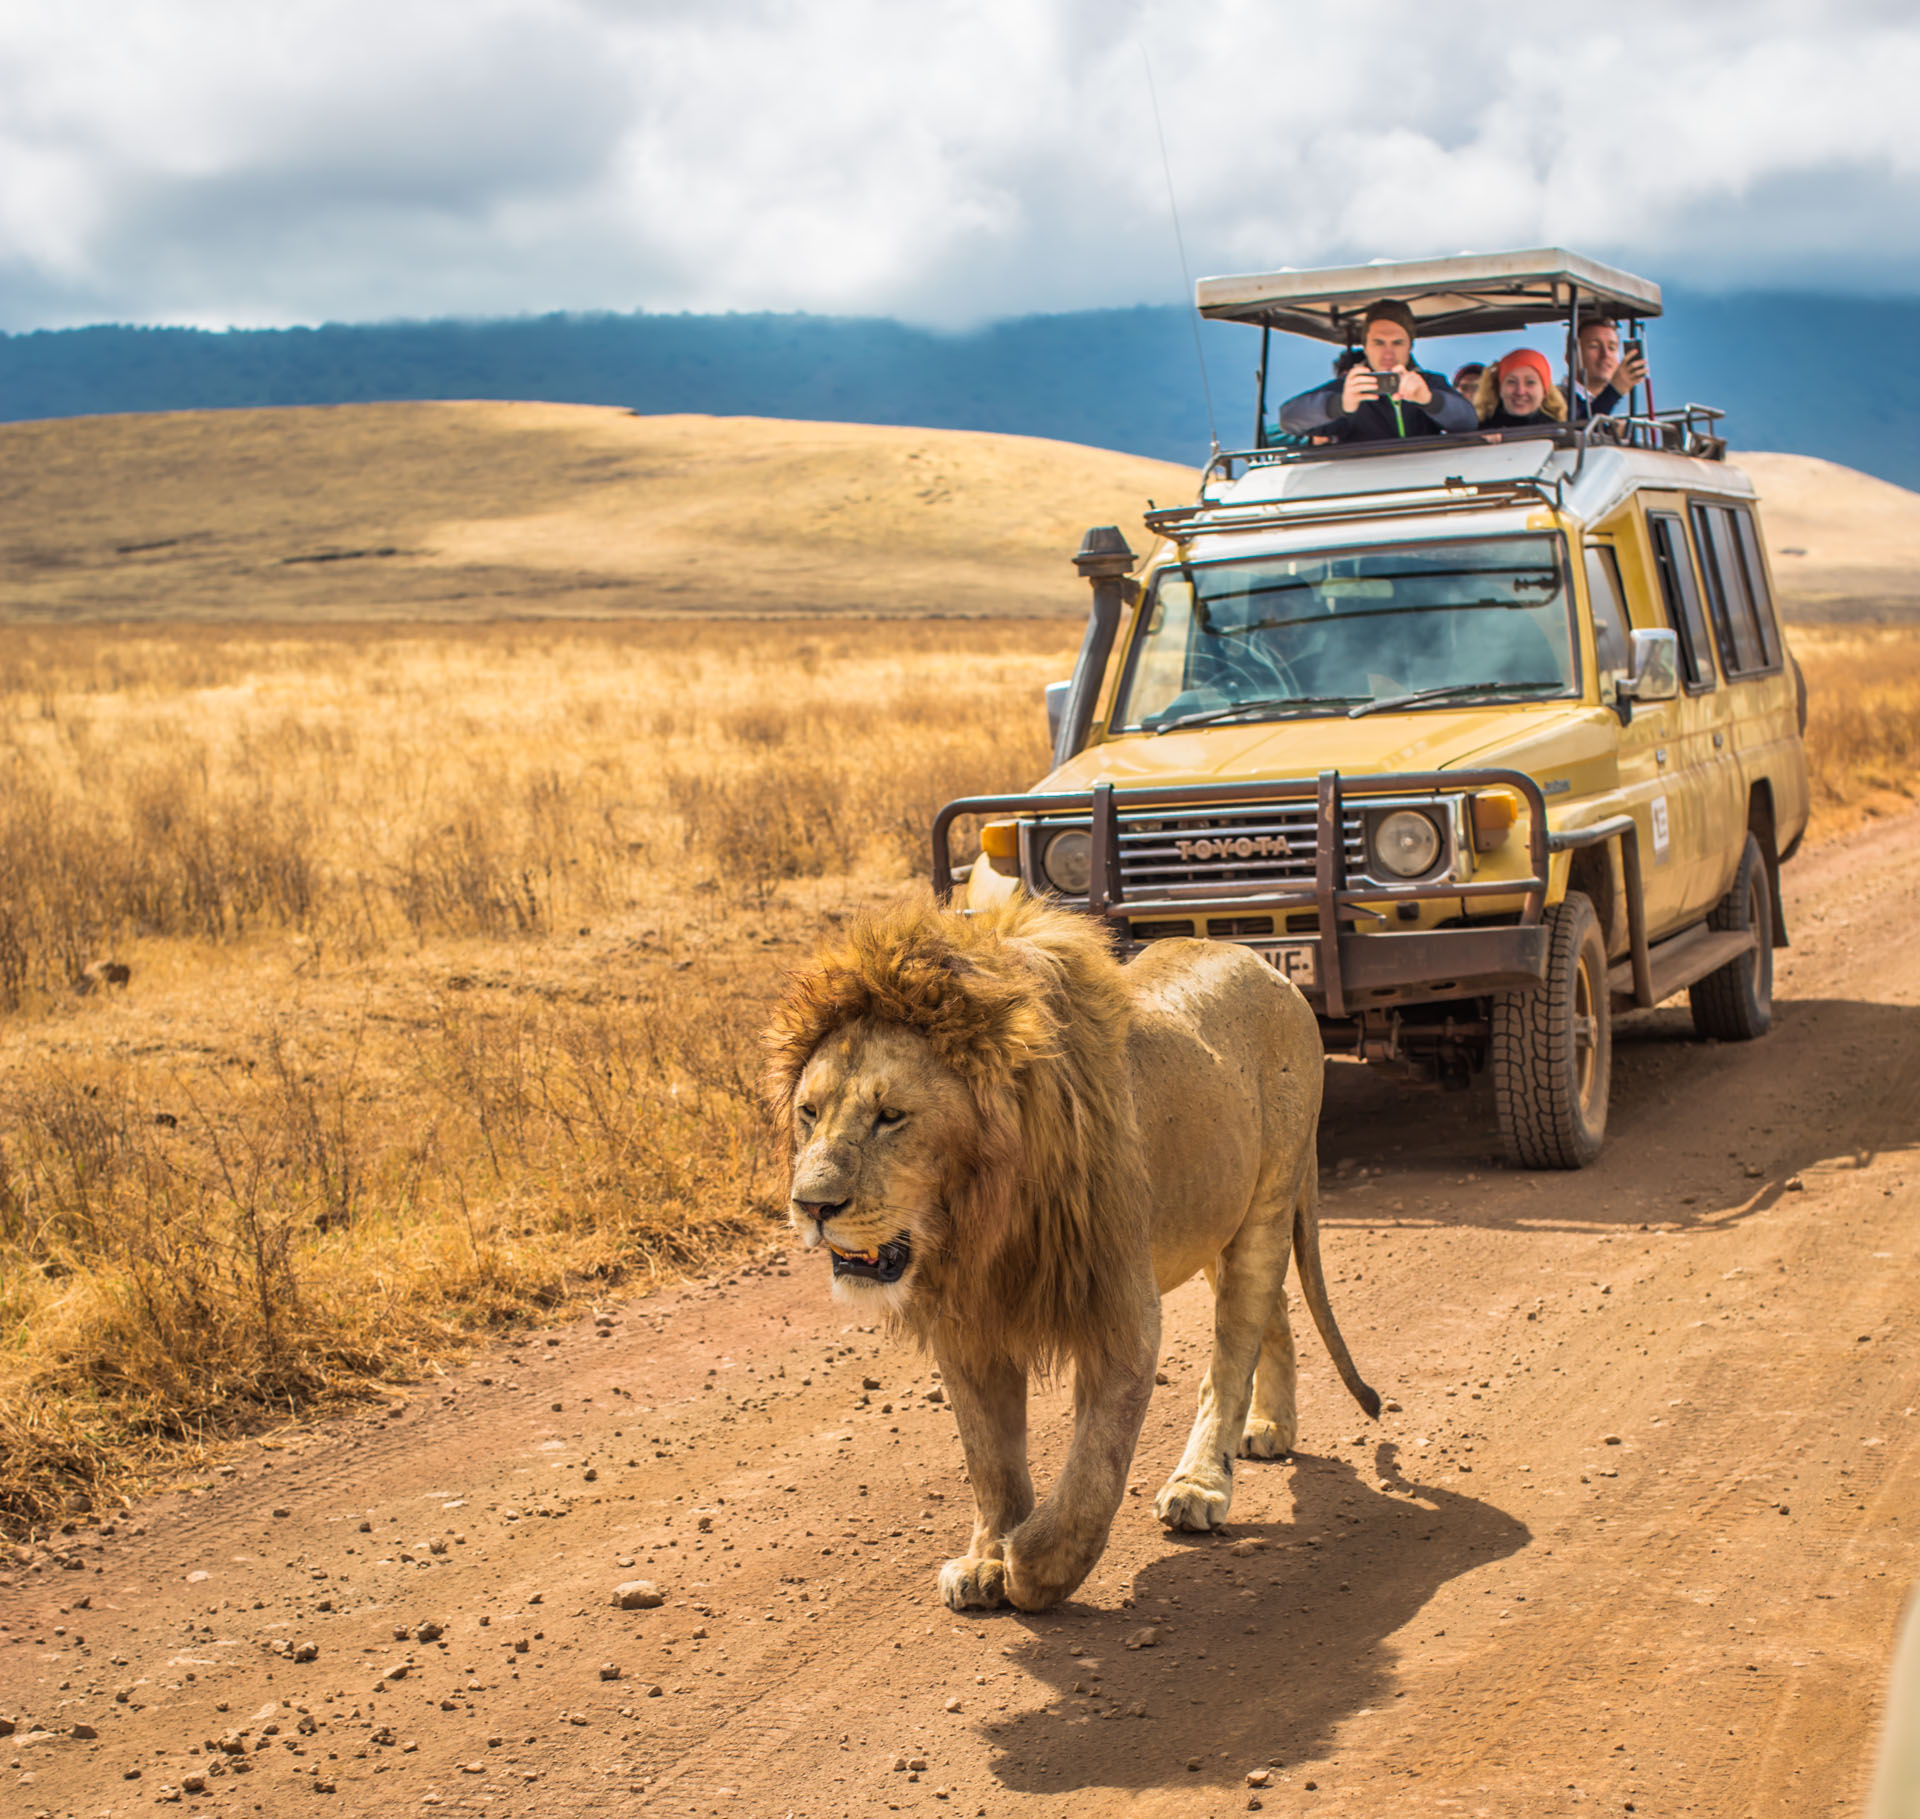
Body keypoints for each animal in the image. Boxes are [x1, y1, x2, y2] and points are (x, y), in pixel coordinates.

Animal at [764, 887, 1382, 1613]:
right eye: (809, 1113)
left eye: (891, 1116)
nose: (811, 1206)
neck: (979, 1217)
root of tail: (1266, 966)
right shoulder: (968, 1322)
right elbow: (990, 1457)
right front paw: (985, 1559)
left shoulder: (1118, 1309)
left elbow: (1095, 1469)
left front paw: (1035, 1566)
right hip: (1212, 1215)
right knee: (1272, 1309)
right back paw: (1271, 1425)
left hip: (1268, 1195)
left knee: (1234, 1348)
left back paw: (1202, 1482)